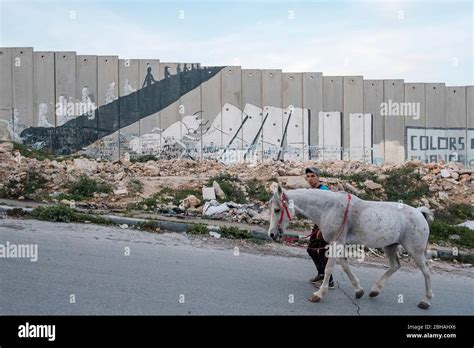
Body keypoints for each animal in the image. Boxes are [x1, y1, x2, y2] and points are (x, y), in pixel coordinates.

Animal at [268, 184, 436, 308]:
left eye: (277, 210)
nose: (272, 234)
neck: (329, 208)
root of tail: (419, 213)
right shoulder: (339, 244)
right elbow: (345, 266)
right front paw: (358, 290)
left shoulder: (336, 244)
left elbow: (329, 268)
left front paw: (319, 294)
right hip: (390, 246)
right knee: (395, 266)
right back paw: (375, 290)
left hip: (416, 251)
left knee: (426, 272)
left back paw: (425, 301)